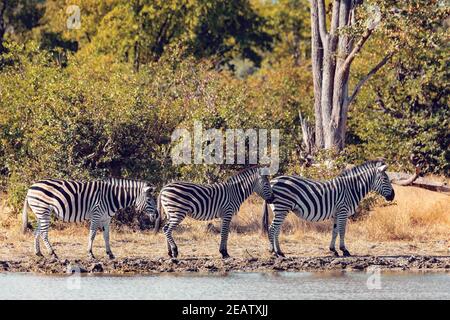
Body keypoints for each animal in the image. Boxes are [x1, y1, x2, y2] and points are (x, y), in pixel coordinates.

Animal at [22, 178, 157, 260]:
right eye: (149, 200)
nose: (156, 215)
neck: (112, 196)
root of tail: (31, 187)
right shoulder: (96, 215)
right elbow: (92, 235)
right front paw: (90, 254)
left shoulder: (106, 218)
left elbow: (106, 236)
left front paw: (110, 254)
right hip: (43, 211)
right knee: (44, 233)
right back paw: (53, 254)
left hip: (40, 213)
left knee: (37, 232)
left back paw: (38, 253)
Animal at [260, 160, 394, 258]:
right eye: (385, 179)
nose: (393, 196)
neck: (351, 188)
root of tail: (272, 181)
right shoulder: (343, 211)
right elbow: (342, 231)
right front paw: (344, 250)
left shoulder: (336, 213)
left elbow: (335, 231)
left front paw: (333, 250)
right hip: (282, 207)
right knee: (272, 229)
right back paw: (274, 252)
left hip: (281, 209)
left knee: (276, 230)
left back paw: (280, 252)